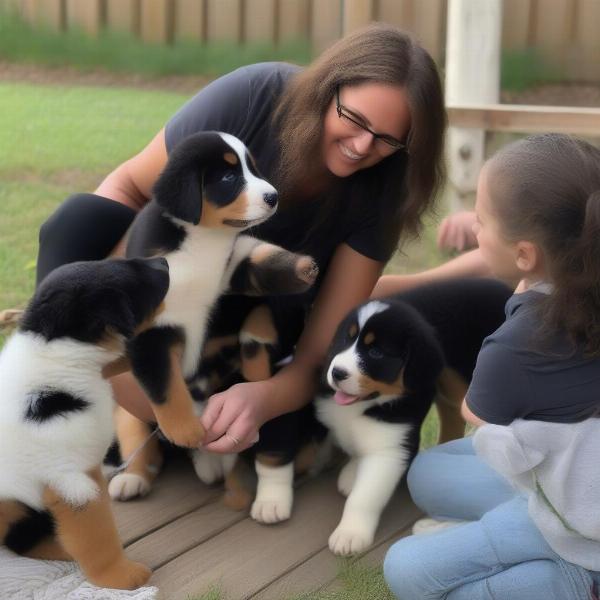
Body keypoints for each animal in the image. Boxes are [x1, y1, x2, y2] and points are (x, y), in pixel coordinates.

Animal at [0, 255, 170, 588]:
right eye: (134, 280)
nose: (163, 261)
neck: (54, 354)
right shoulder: (73, 483)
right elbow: (97, 536)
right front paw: (120, 576)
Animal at [314, 278, 510, 556]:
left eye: (375, 353)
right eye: (346, 339)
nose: (337, 372)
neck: (369, 403)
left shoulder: (392, 447)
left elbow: (364, 496)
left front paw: (350, 534)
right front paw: (352, 471)